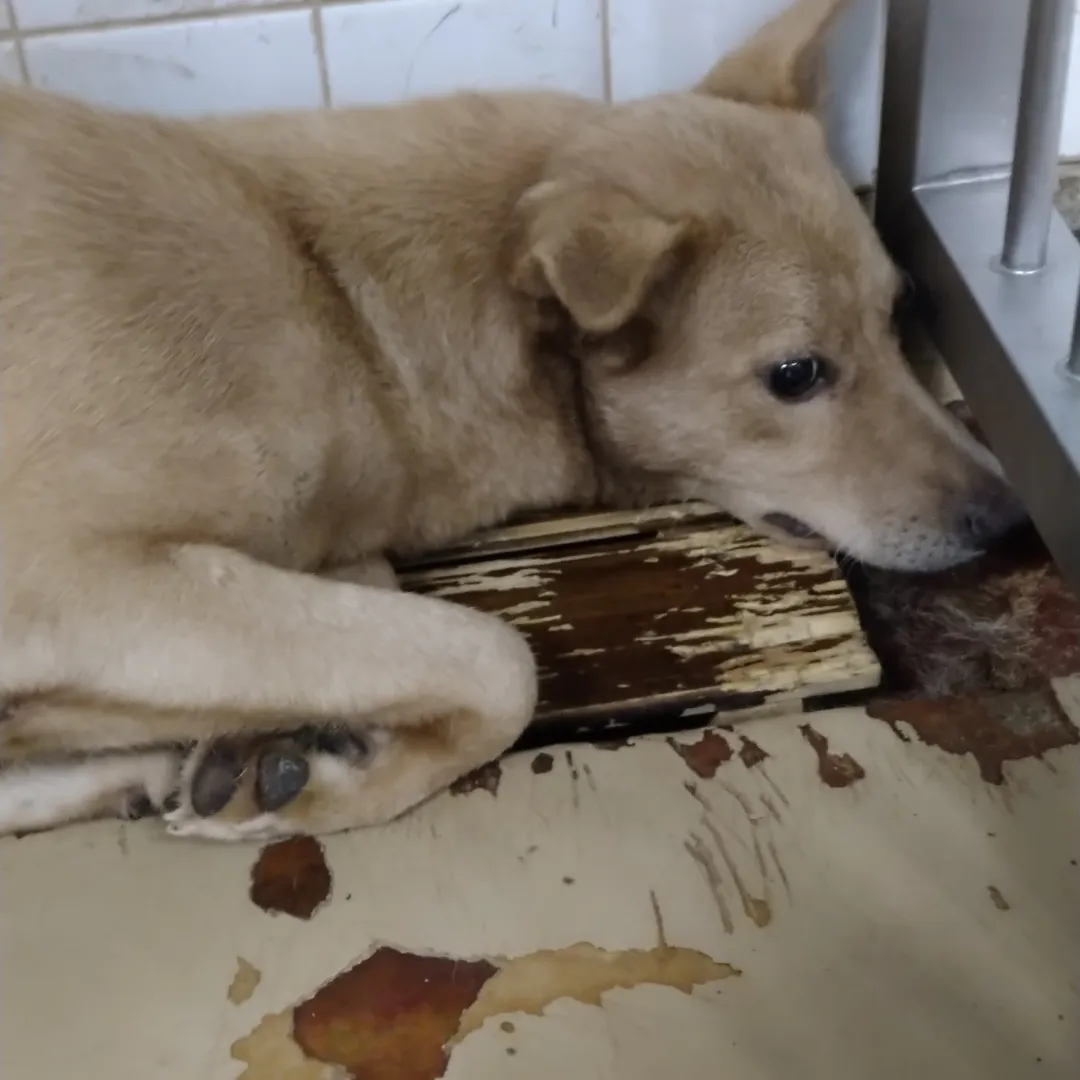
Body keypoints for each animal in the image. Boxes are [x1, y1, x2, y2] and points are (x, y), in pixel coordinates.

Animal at [0, 0, 1025, 841]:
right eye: (796, 374)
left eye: (898, 315)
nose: (1009, 517)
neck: (341, 310)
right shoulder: (66, 576)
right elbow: (500, 660)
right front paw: (336, 782)